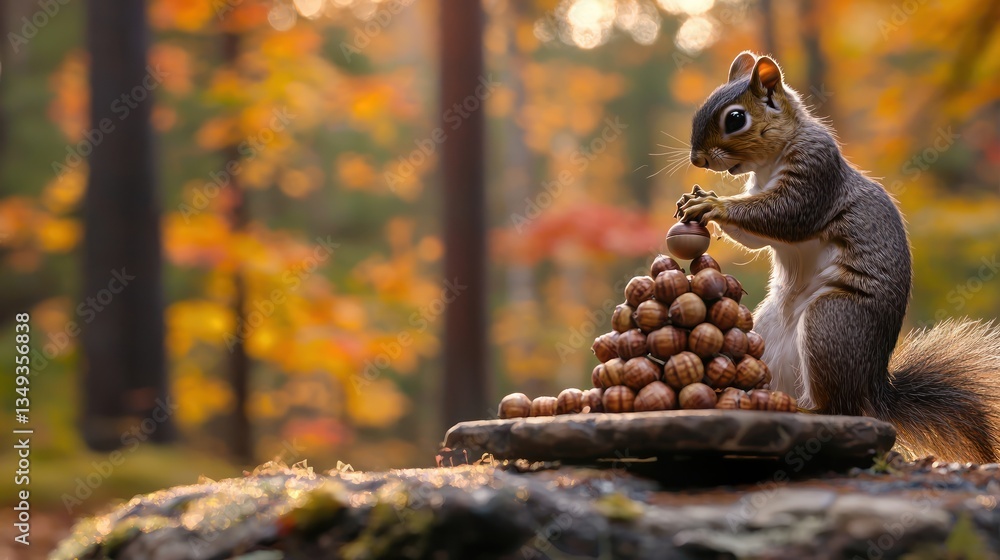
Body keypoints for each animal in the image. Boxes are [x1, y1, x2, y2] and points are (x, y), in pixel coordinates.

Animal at [675, 51, 1000, 463]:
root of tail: (872, 389)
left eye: (735, 119)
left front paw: (713, 204)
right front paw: (697, 200)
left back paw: (805, 412)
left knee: (838, 408)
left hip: (831, 323)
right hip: (767, 333)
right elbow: (754, 236)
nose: (697, 160)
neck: (769, 161)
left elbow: (784, 214)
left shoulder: (816, 173)